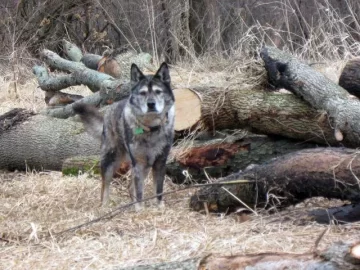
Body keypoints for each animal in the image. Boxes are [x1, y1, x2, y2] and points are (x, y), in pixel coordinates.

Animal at [73, 62, 174, 209]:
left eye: (158, 92)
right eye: (143, 93)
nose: (151, 104)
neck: (150, 129)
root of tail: (108, 111)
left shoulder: (160, 162)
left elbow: (158, 190)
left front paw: (159, 207)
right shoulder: (138, 162)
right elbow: (139, 191)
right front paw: (140, 209)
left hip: (145, 165)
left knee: (130, 186)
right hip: (111, 161)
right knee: (105, 186)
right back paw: (104, 207)